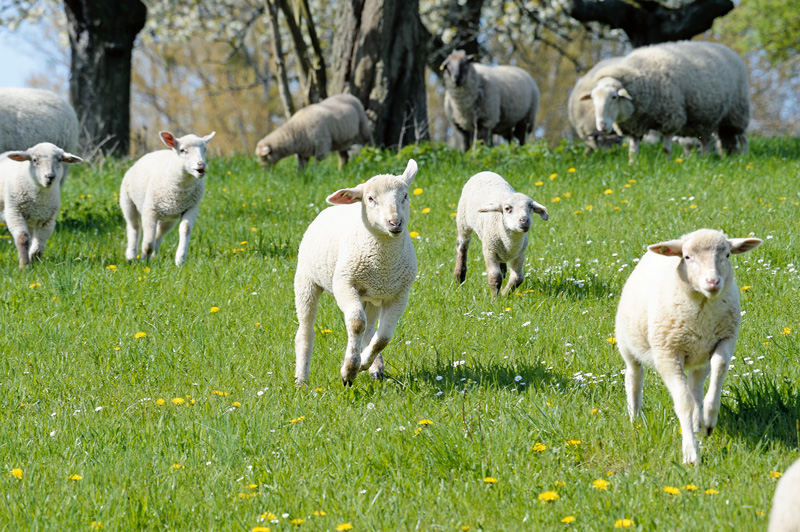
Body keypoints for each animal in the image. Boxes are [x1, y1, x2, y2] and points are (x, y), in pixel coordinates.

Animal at [119, 129, 216, 266]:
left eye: (205, 149)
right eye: (182, 150)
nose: (201, 164)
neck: (180, 189)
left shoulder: (191, 208)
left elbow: (185, 229)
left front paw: (180, 260)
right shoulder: (149, 210)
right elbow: (148, 242)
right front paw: (144, 261)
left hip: (170, 216)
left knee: (159, 234)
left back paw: (153, 256)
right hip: (127, 201)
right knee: (134, 227)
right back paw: (131, 255)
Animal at [294, 158, 418, 386]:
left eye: (405, 196)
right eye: (370, 199)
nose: (395, 223)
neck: (383, 262)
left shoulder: (398, 294)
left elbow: (383, 337)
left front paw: (362, 364)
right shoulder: (344, 283)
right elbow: (356, 323)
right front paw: (349, 371)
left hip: (372, 296)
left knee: (370, 330)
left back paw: (374, 367)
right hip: (306, 280)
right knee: (305, 332)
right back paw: (301, 380)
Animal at [580, 40, 752, 162]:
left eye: (614, 97)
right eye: (593, 98)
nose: (602, 126)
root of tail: (728, 50)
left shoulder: (671, 119)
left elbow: (666, 149)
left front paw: (668, 164)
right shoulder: (635, 125)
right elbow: (632, 152)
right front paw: (631, 166)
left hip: (738, 110)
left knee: (742, 136)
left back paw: (743, 156)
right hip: (706, 117)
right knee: (708, 140)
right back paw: (709, 159)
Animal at [612, 229, 764, 466]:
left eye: (727, 255)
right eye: (687, 257)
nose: (713, 281)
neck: (702, 305)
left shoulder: (725, 339)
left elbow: (719, 368)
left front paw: (708, 420)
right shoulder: (667, 353)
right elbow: (683, 402)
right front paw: (691, 452)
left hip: (699, 357)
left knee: (696, 390)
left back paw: (697, 424)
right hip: (628, 345)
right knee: (634, 378)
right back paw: (635, 418)